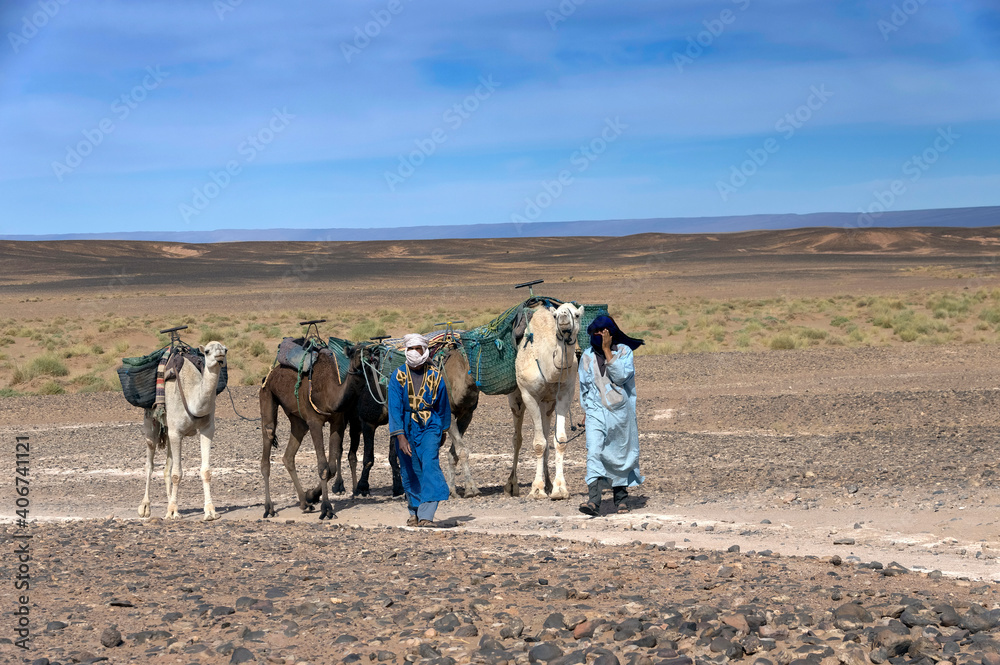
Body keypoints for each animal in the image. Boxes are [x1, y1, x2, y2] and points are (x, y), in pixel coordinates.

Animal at [139, 342, 229, 520]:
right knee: (149, 464)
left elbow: (206, 471)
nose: (220, 355)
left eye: (225, 349)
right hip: (151, 423)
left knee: (166, 468)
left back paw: (168, 502)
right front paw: (173, 512)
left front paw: (210, 511)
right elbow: (177, 474)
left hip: (168, 431)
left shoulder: (207, 429)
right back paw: (145, 507)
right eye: (207, 351)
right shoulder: (176, 433)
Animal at [508, 300, 584, 498]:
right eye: (556, 315)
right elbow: (538, 444)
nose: (564, 317)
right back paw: (512, 484)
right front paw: (536, 489)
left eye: (576, 314)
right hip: (516, 399)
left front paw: (559, 489)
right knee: (517, 438)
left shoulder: (564, 395)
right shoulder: (529, 396)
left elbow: (559, 441)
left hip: (547, 405)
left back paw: (549, 483)